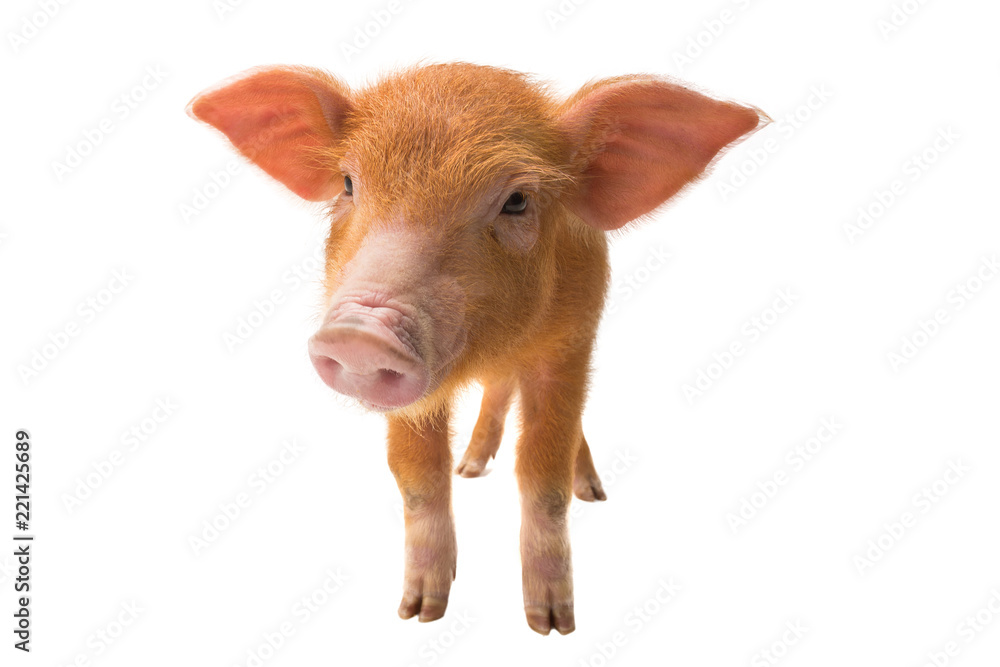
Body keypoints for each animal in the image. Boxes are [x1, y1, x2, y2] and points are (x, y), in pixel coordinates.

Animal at [188, 63, 765, 635]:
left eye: (517, 200)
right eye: (349, 183)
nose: (360, 332)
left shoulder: (569, 345)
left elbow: (544, 476)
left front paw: (550, 623)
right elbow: (419, 478)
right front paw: (419, 612)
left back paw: (591, 490)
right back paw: (470, 466)